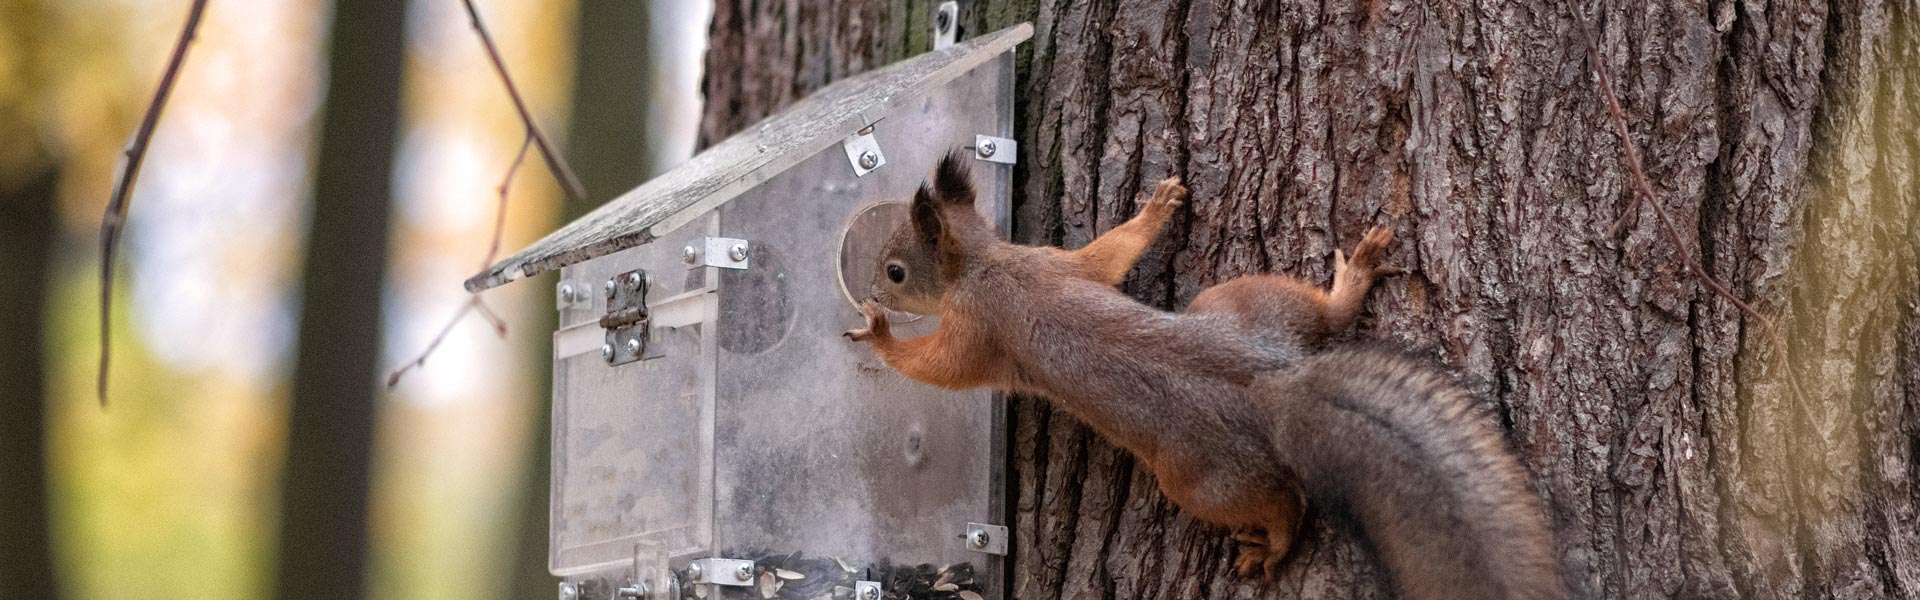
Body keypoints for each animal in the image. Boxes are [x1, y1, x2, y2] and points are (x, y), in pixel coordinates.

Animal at [848, 151, 1566, 596]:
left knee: (1281, 503)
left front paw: (878, 333)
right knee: (1323, 315)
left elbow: (942, 368)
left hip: (1196, 476)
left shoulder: (977, 328)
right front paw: (1159, 207)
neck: (986, 265)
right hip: (1246, 301)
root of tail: (1275, 385)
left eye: (895, 271)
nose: (868, 289)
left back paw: (1273, 544)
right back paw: (1352, 281)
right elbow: (1107, 256)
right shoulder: (1058, 262)